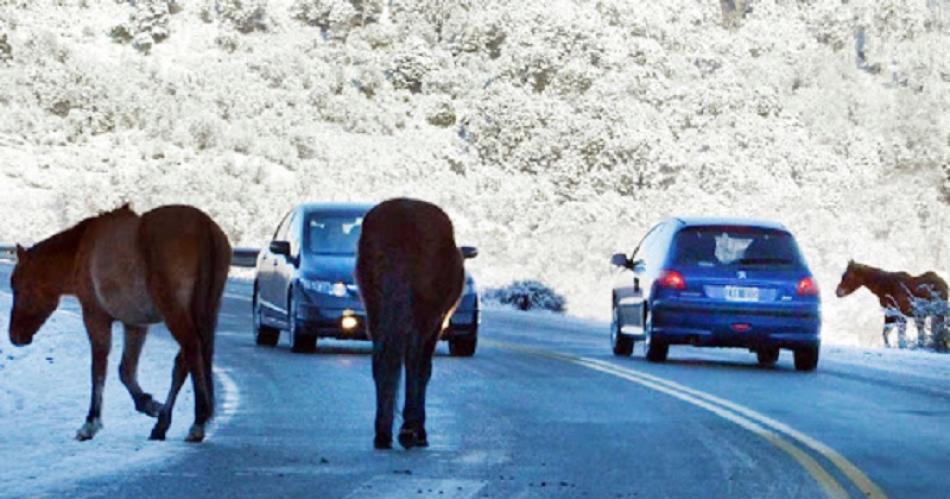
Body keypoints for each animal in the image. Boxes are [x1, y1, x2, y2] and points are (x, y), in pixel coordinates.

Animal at [7, 205, 232, 444]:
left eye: (18, 288)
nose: (15, 336)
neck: (79, 251)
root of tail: (204, 226)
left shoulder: (95, 317)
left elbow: (99, 368)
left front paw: (91, 423)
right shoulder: (135, 324)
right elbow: (126, 370)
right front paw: (149, 404)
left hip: (175, 312)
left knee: (191, 350)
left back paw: (197, 422)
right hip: (206, 312)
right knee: (184, 361)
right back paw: (163, 424)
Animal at [356, 199, 466, 454]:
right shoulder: (436, 323)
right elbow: (424, 370)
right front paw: (419, 430)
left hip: (374, 307)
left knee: (382, 358)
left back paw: (382, 432)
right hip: (424, 313)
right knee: (414, 359)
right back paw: (407, 430)